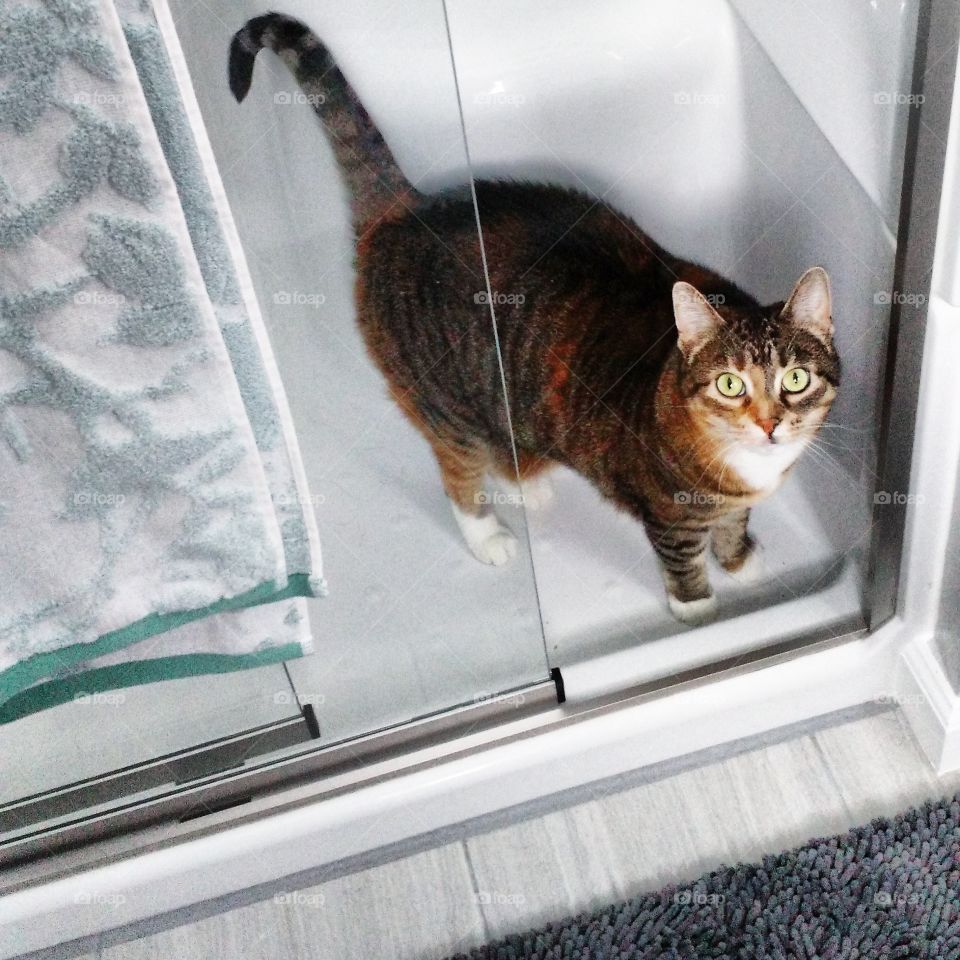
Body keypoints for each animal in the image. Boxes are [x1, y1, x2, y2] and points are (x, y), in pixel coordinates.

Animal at [227, 15, 840, 632]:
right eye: (730, 384)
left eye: (795, 379)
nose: (769, 425)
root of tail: (407, 210)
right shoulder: (670, 517)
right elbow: (685, 565)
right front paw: (701, 610)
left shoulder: (736, 503)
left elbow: (734, 525)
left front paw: (740, 562)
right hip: (447, 408)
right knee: (458, 473)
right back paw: (486, 533)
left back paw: (529, 482)